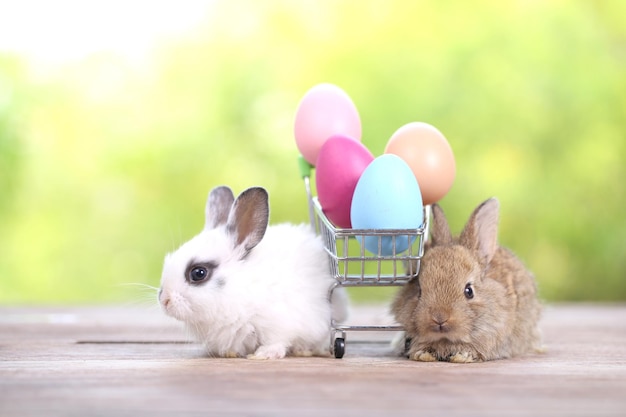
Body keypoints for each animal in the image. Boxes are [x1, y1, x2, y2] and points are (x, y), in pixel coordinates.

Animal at [157, 185, 346, 358]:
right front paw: (230, 353)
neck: (241, 290)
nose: (164, 300)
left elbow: (277, 340)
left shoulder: (279, 322)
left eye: (198, 273)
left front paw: (264, 354)